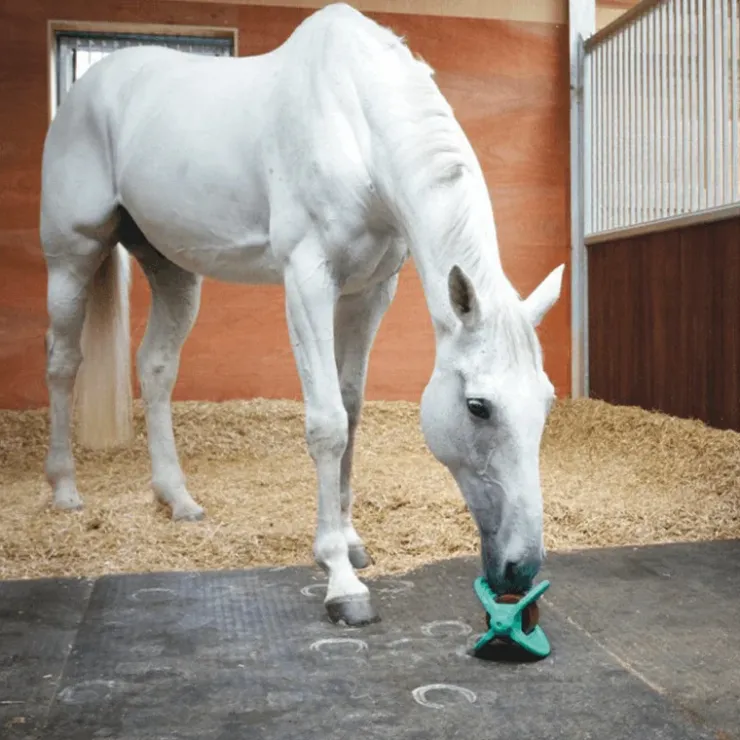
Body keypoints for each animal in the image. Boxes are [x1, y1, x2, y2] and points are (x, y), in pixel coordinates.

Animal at [40, 3, 564, 627]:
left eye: (546, 402)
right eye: (477, 407)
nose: (521, 569)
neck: (353, 122)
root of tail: (88, 89)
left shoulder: (369, 292)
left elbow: (352, 408)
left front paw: (350, 541)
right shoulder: (308, 280)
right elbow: (327, 423)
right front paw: (340, 579)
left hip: (173, 271)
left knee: (156, 367)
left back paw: (177, 498)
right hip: (72, 258)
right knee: (63, 362)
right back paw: (65, 491)